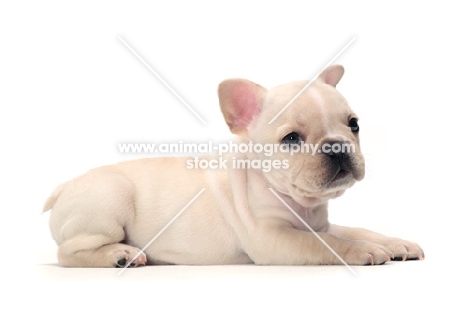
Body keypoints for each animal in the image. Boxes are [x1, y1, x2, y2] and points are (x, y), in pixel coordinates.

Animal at [43, 65, 424, 268]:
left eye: (354, 125)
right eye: (291, 139)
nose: (336, 145)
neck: (303, 205)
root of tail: (64, 187)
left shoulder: (322, 225)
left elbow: (357, 230)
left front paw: (395, 243)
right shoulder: (273, 238)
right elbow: (325, 245)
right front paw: (362, 251)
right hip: (109, 199)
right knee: (67, 252)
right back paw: (119, 255)